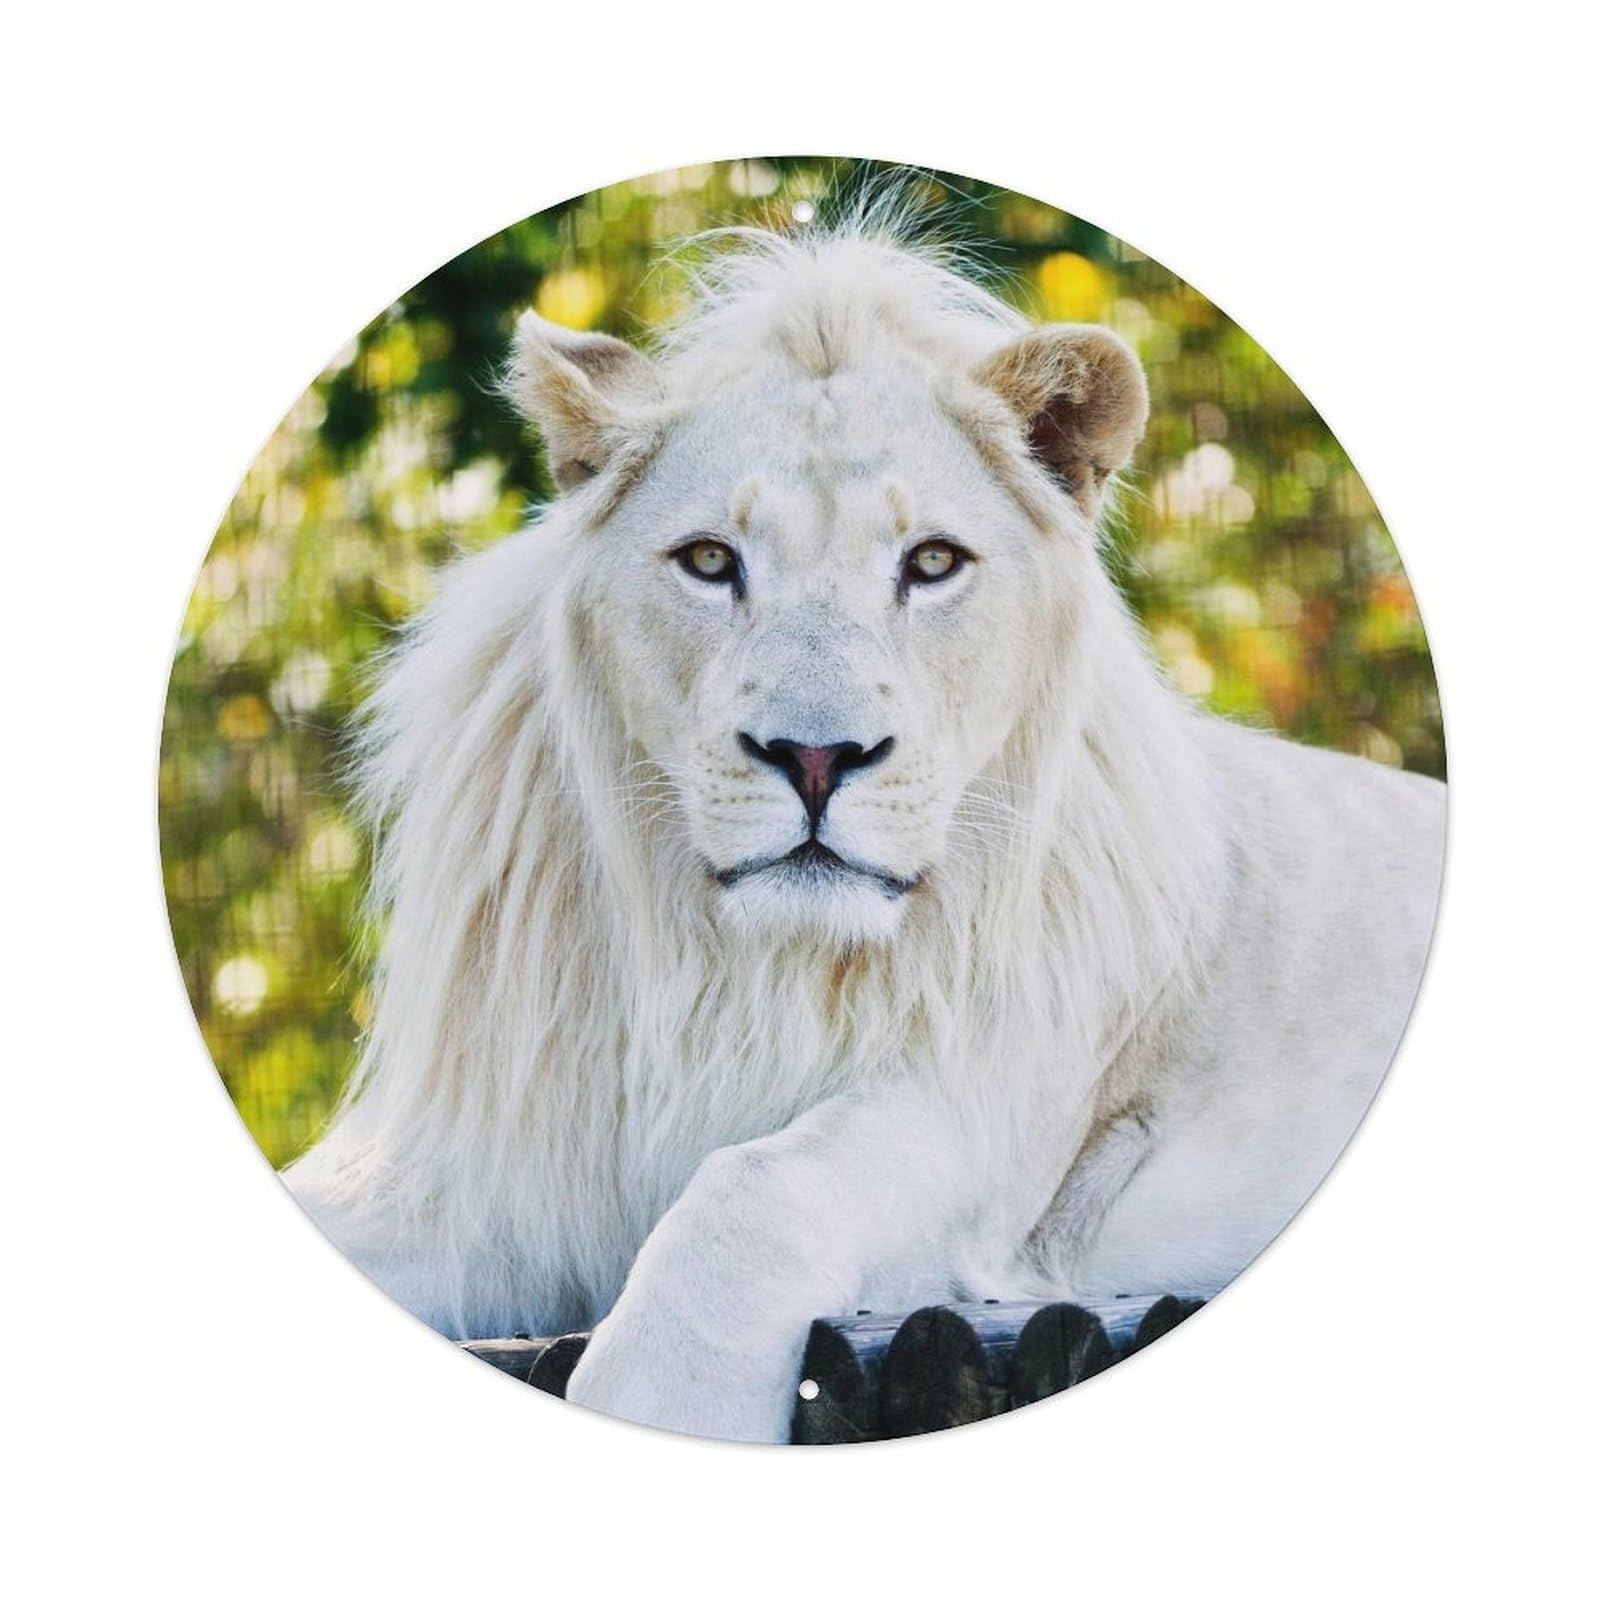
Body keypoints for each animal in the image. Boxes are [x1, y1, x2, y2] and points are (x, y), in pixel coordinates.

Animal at [284, 218, 1446, 1443]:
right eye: (710, 560)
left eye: (931, 562)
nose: (814, 757)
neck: (744, 972)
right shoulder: (471, 1163)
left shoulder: (991, 1117)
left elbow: (756, 1189)